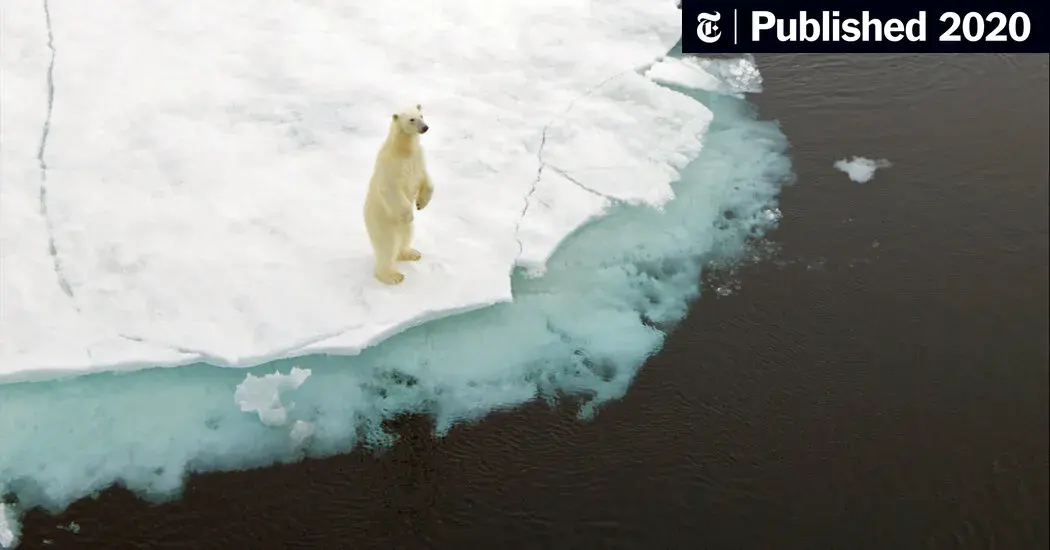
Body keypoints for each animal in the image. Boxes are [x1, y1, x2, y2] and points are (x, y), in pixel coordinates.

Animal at [363, 104, 434, 285]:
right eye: (411, 119)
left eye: (421, 115)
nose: (425, 127)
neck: (403, 150)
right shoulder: (391, 166)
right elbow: (390, 188)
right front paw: (409, 214)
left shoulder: (418, 158)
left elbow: (426, 179)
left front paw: (420, 203)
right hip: (381, 222)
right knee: (387, 247)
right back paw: (392, 276)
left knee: (406, 236)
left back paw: (411, 253)